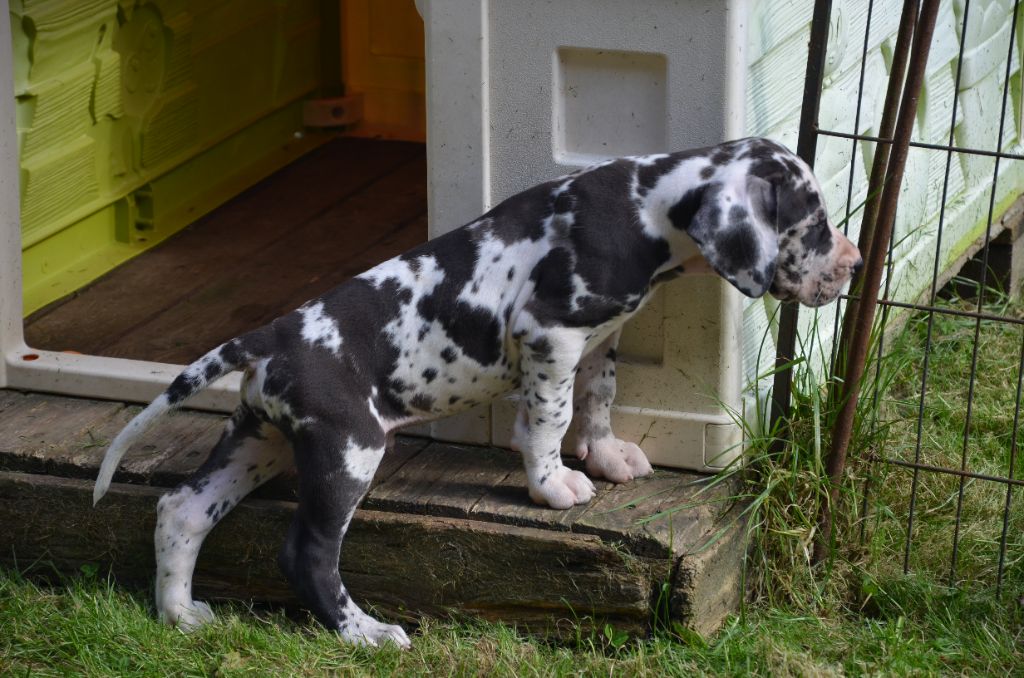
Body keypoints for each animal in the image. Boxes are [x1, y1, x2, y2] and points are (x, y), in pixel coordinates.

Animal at [93, 137, 861, 647]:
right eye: (816, 222)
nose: (854, 266)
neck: (645, 208)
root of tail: (273, 334)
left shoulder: (600, 337)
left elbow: (599, 397)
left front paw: (606, 454)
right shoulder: (550, 334)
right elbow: (550, 416)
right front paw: (553, 484)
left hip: (261, 439)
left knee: (181, 509)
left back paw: (179, 615)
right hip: (348, 451)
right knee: (306, 554)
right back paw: (366, 633)